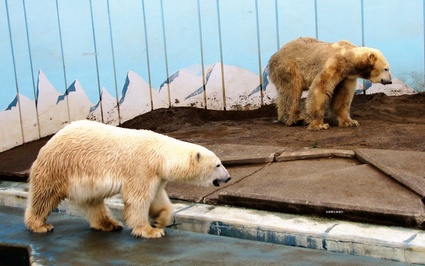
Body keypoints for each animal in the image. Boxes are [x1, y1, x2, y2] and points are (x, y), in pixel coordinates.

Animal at [24, 119, 230, 238]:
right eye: (218, 164)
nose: (228, 177)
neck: (159, 154)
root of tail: (50, 141)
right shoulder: (141, 168)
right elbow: (138, 199)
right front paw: (151, 231)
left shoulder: (155, 175)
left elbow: (157, 198)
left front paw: (160, 220)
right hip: (59, 167)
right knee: (44, 196)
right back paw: (40, 225)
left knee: (92, 201)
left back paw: (109, 224)